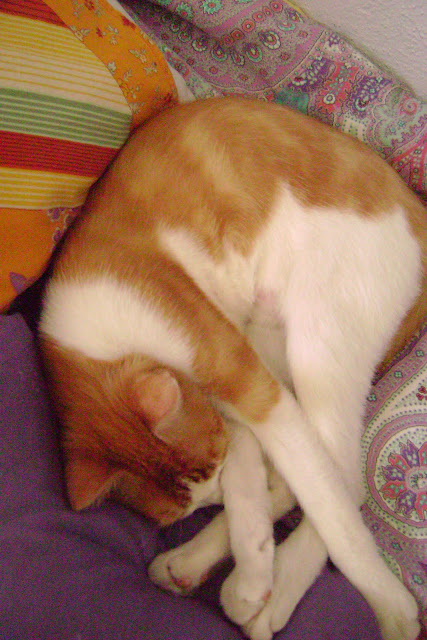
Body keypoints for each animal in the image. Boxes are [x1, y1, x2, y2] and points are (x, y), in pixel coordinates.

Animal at [39, 97, 426, 640]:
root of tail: (416, 205)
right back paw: (196, 564)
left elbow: (330, 511)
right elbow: (257, 470)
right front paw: (253, 561)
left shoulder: (251, 386)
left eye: (210, 472)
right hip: (269, 337)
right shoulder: (238, 401)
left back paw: (299, 592)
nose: (213, 503)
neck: (107, 342)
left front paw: (386, 602)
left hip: (319, 338)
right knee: (309, 476)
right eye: (189, 505)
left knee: (345, 482)